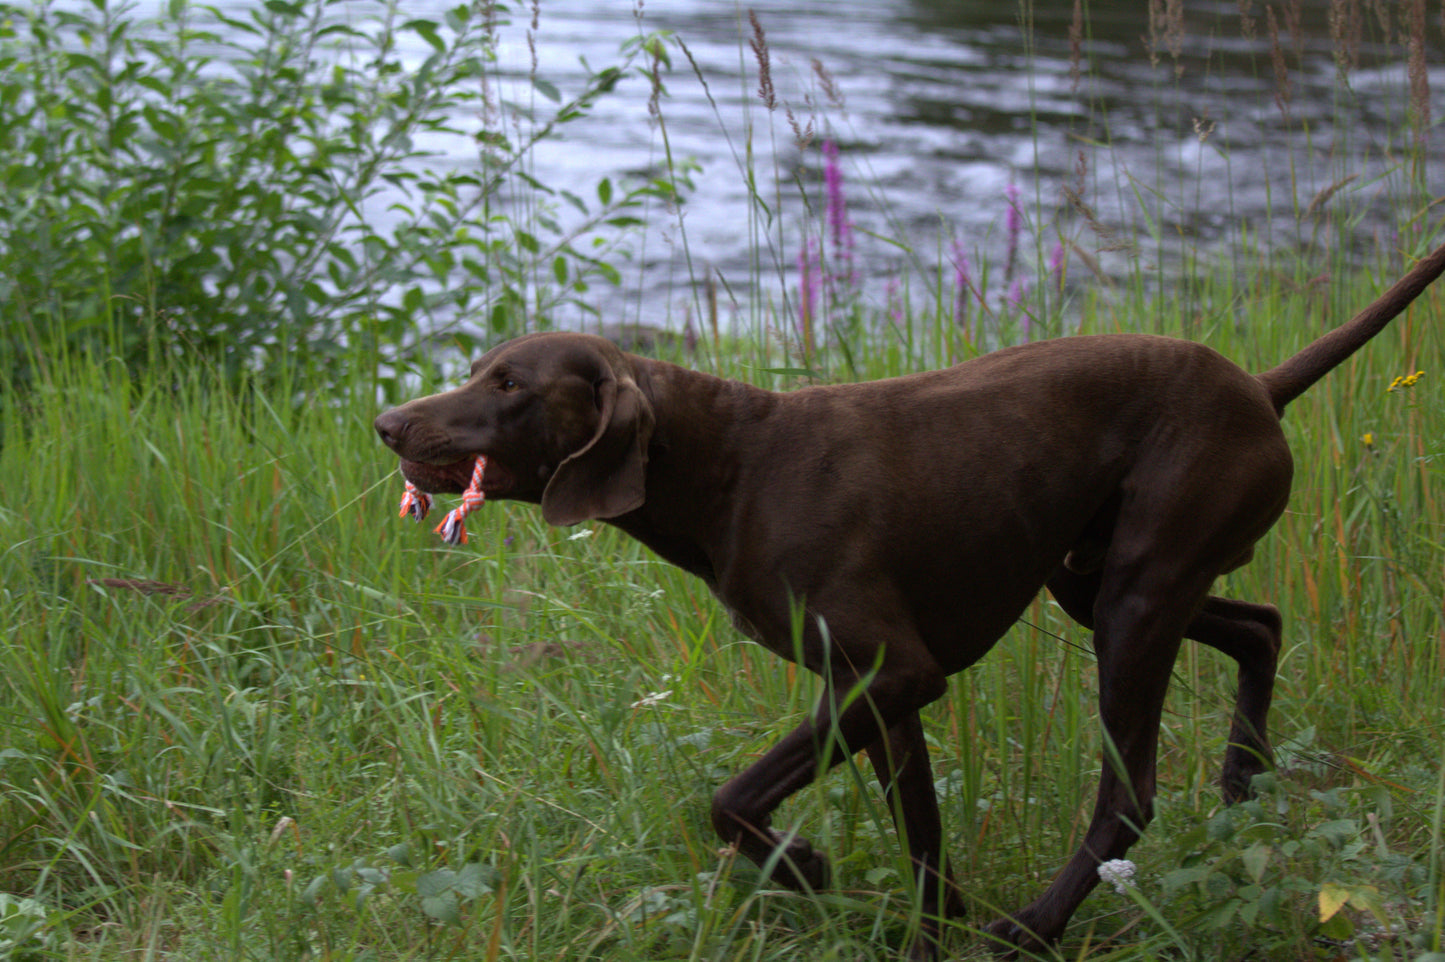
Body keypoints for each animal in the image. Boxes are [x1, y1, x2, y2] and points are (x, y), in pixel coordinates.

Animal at [375, 239, 1445, 953]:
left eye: (510, 384)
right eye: (477, 368)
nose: (387, 422)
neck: (730, 467)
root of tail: (1257, 388)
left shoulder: (891, 676)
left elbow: (730, 798)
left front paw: (804, 868)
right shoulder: (880, 699)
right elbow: (923, 841)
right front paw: (926, 928)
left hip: (1137, 596)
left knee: (1129, 796)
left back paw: (1032, 927)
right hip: (1092, 577)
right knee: (1259, 627)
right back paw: (1240, 782)